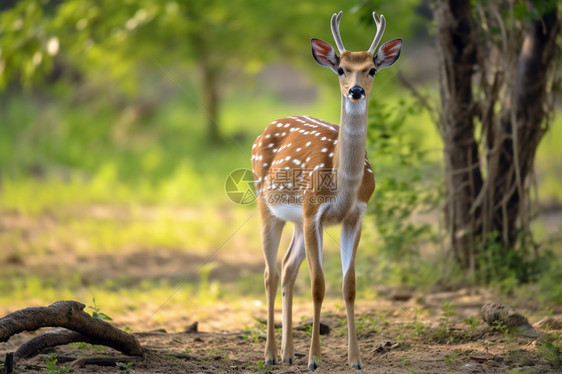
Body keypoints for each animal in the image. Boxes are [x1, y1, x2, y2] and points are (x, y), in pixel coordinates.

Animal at [249, 9, 398, 372]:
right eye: (341, 68)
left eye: (372, 69)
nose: (356, 90)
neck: (342, 186)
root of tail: (265, 129)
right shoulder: (313, 211)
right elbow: (318, 286)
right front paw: (315, 359)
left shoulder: (355, 216)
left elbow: (349, 286)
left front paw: (356, 359)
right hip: (266, 205)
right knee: (270, 272)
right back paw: (271, 355)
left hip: (297, 221)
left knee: (287, 268)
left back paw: (288, 353)